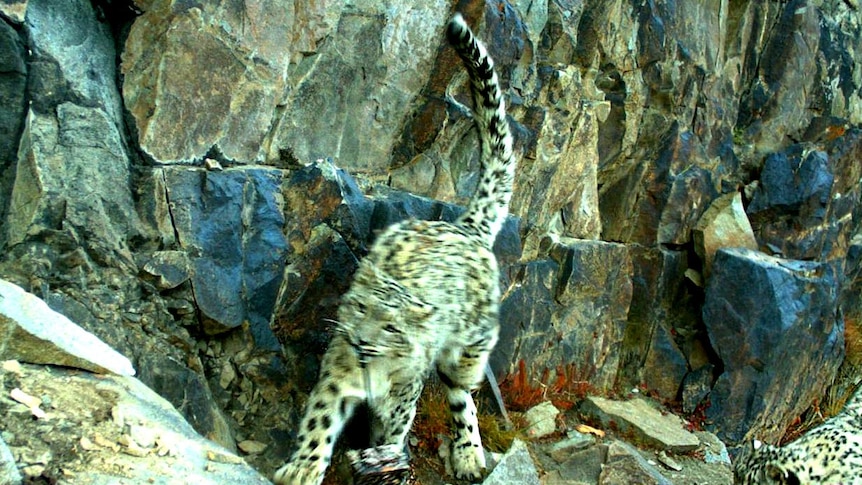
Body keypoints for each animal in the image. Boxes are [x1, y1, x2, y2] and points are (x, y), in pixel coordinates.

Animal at [276, 12, 516, 484]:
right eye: (360, 309)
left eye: (392, 327)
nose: (362, 341)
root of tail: (465, 228)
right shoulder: (337, 372)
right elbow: (320, 418)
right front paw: (302, 467)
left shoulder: (401, 395)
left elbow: (393, 427)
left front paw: (383, 459)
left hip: (468, 346)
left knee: (462, 389)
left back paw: (467, 452)